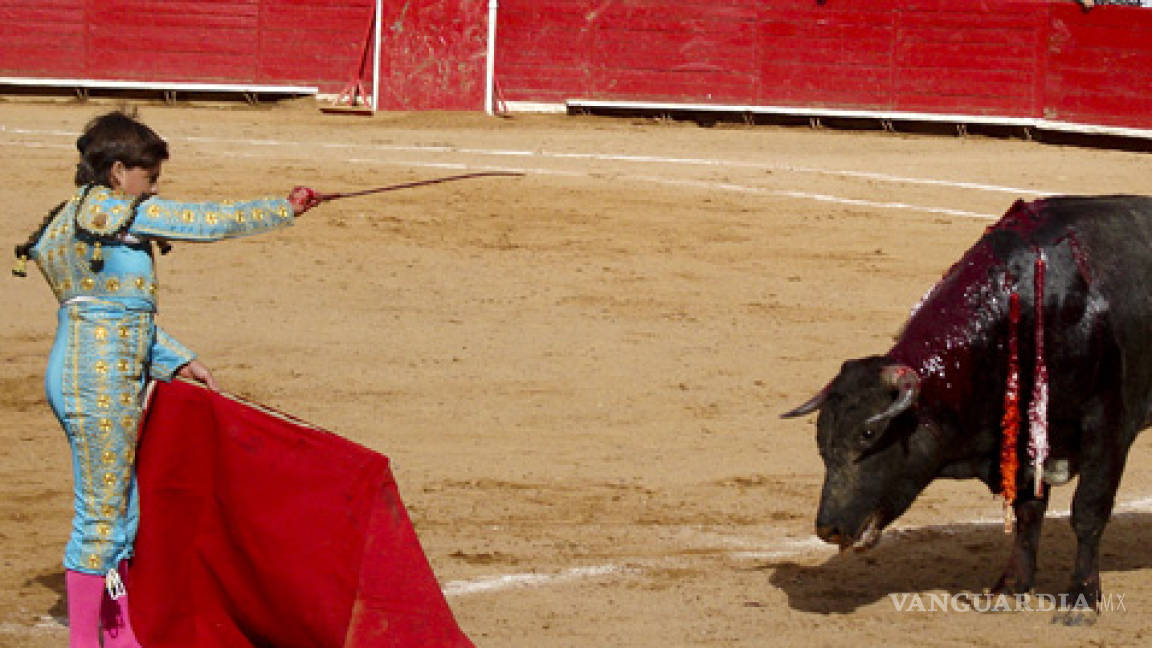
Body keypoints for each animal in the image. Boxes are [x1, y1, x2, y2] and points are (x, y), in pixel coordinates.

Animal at [783, 197, 1152, 613]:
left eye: (869, 433)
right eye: (821, 441)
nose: (828, 528)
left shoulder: (1109, 428)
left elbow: (1088, 511)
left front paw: (1082, 599)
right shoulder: (1025, 439)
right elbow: (1028, 512)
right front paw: (1011, 586)